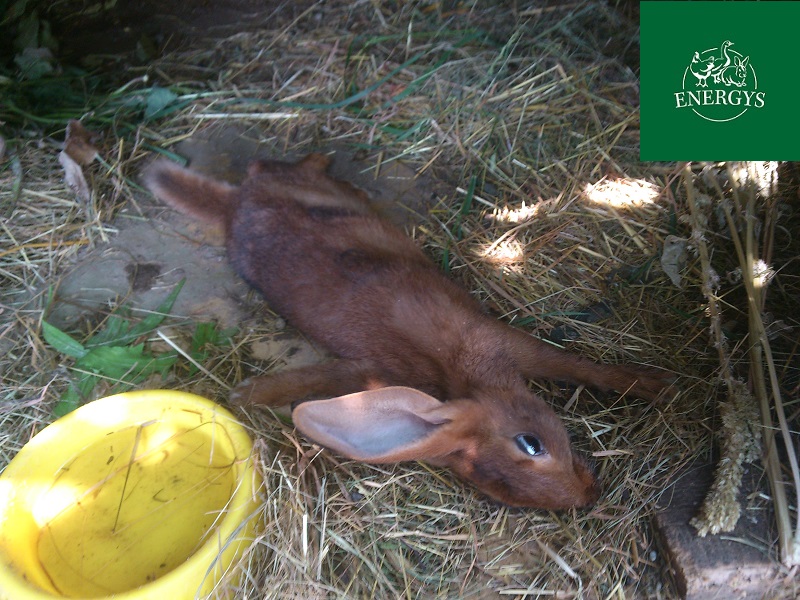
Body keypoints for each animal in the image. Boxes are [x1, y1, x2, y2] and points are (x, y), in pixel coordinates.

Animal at [144, 152, 668, 508]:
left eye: (531, 443)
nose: (588, 493)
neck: (457, 377)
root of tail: (234, 205)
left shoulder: (505, 344)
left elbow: (582, 367)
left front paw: (658, 385)